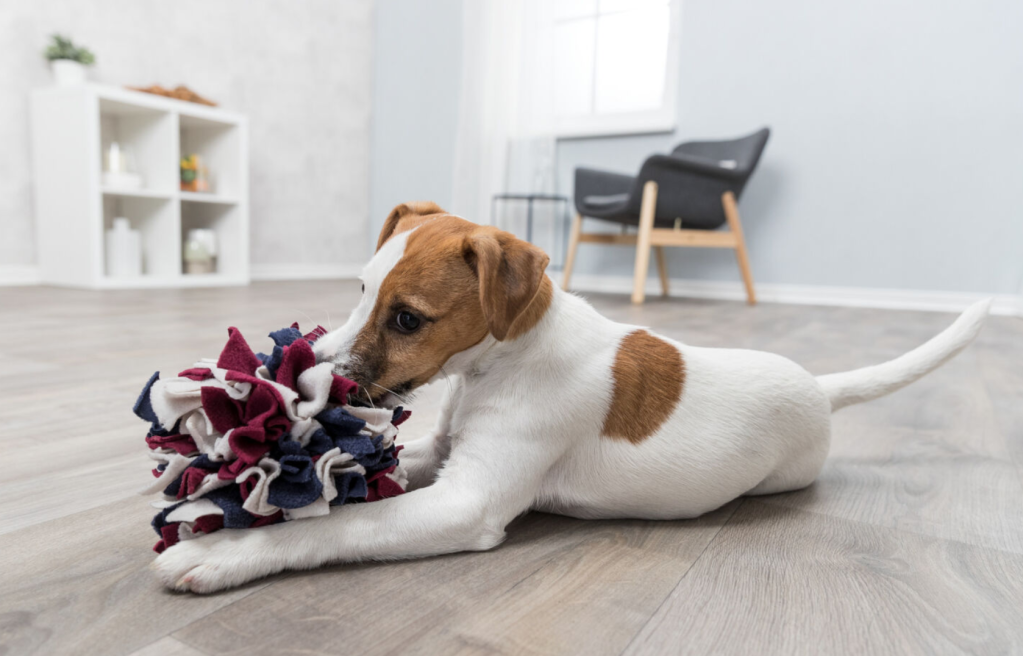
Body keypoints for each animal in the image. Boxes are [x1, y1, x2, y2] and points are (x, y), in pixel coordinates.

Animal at [153, 202, 990, 589]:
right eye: (359, 290)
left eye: (406, 318)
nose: (302, 378)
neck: (505, 360)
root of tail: (817, 385)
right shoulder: (442, 449)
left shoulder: (465, 502)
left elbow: (336, 528)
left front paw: (223, 551)